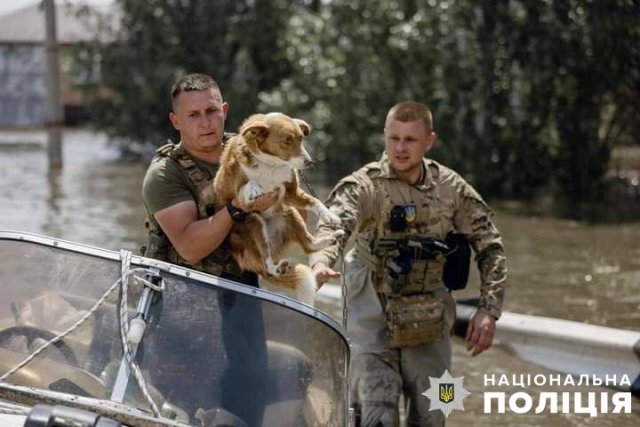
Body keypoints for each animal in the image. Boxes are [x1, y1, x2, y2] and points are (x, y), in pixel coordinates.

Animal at [213, 112, 343, 305]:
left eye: (301, 139)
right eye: (287, 140)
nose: (309, 162)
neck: (270, 163)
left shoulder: (290, 193)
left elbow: (314, 201)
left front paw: (329, 215)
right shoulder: (240, 197)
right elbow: (247, 185)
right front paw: (254, 188)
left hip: (289, 213)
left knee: (308, 246)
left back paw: (331, 238)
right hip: (254, 222)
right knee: (267, 265)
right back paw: (277, 268)